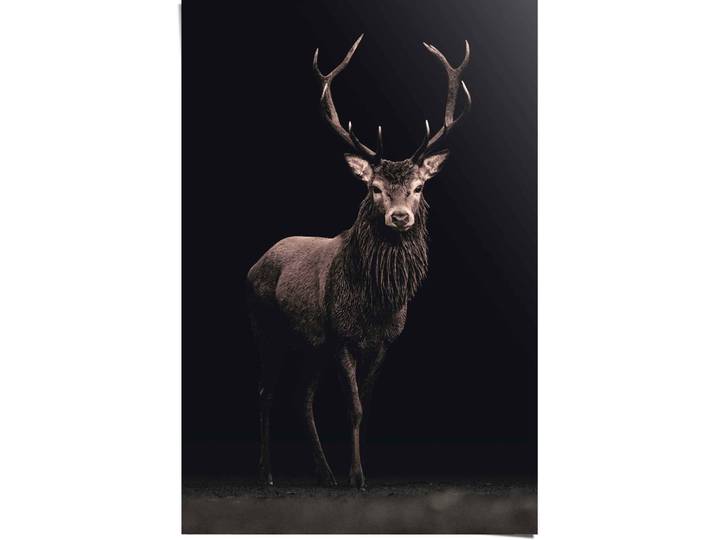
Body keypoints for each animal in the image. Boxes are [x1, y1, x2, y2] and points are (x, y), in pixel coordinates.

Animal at [246, 35, 471, 489]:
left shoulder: (382, 342)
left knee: (302, 396)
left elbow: (364, 407)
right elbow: (352, 406)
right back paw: (268, 474)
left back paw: (324, 473)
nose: (399, 217)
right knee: (266, 392)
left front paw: (355, 470)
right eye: (375, 188)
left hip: (310, 343)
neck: (375, 305)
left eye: (418, 187)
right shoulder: (342, 337)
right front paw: (357, 476)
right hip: (266, 327)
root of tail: (254, 265)